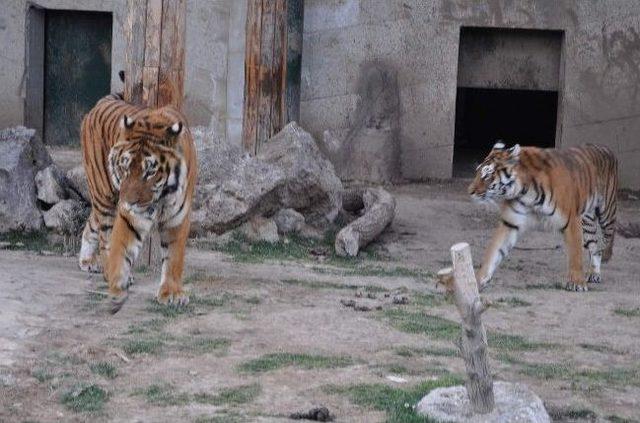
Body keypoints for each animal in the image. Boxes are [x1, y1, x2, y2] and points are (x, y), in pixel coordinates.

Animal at [77, 88, 194, 314]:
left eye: (150, 171)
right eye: (125, 167)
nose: (128, 201)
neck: (161, 196)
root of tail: (99, 104)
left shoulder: (177, 216)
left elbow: (174, 257)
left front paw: (172, 293)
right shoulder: (131, 216)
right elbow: (120, 245)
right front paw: (118, 283)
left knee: (91, 223)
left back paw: (87, 261)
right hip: (104, 195)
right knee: (105, 236)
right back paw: (106, 270)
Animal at [468, 142, 616, 292]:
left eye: (487, 175)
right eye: (478, 172)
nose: (470, 191)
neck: (526, 191)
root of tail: (605, 148)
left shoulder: (571, 220)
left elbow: (575, 254)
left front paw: (577, 283)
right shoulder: (510, 222)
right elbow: (493, 252)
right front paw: (476, 281)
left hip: (606, 212)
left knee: (608, 238)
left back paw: (603, 261)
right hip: (588, 221)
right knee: (594, 247)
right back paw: (593, 273)